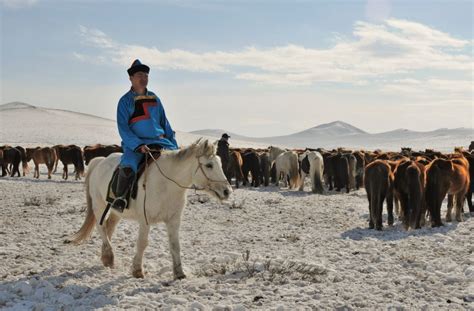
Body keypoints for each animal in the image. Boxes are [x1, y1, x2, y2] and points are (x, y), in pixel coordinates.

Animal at [70, 139, 231, 280]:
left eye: (220, 163)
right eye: (209, 165)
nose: (227, 191)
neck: (166, 184)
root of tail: (99, 161)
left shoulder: (173, 221)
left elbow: (175, 245)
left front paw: (179, 274)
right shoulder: (145, 220)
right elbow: (142, 243)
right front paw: (137, 271)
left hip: (117, 211)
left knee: (109, 226)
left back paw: (105, 257)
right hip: (99, 205)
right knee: (101, 227)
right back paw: (109, 256)